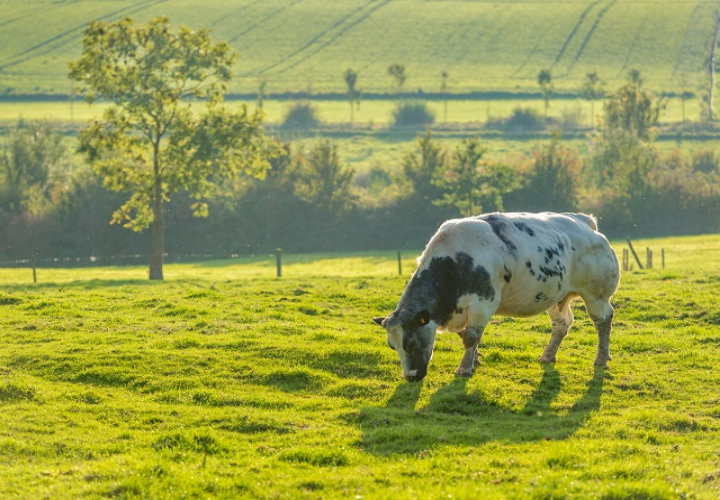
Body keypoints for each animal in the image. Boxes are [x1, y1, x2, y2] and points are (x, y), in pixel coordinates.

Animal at [376, 212, 620, 382]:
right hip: (557, 296)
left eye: (411, 344)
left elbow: (471, 336)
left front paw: (464, 368)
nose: (410, 377)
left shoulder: (482, 303)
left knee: (603, 321)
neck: (455, 260)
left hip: (596, 295)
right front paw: (475, 360)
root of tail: (584, 221)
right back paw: (547, 356)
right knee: (562, 324)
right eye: (392, 346)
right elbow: (466, 335)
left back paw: (601, 358)